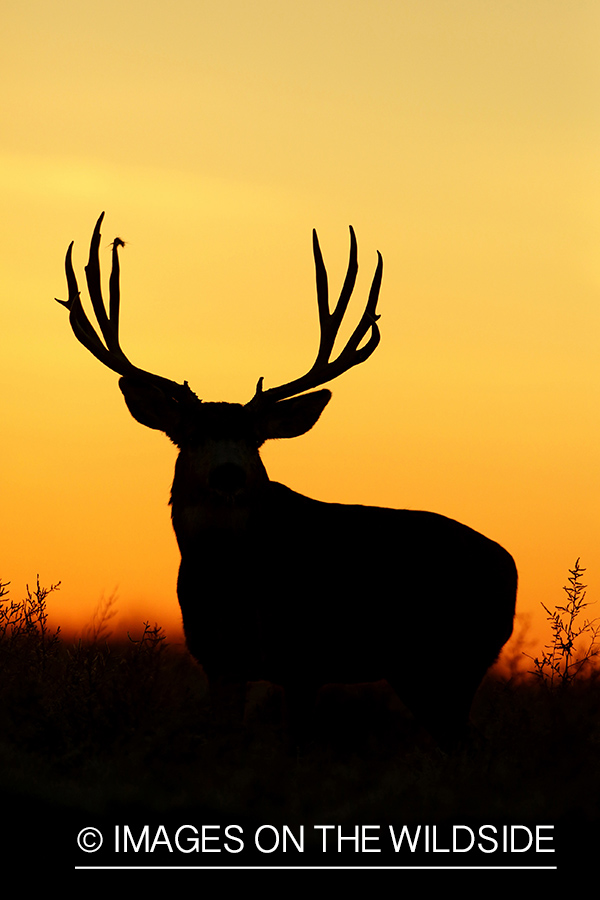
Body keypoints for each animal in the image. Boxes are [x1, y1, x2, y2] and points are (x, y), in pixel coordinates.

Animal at [56, 213, 517, 750]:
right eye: (191, 435)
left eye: (255, 439)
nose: (229, 473)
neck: (232, 581)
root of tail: (509, 566)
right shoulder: (219, 662)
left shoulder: (303, 658)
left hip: (450, 659)